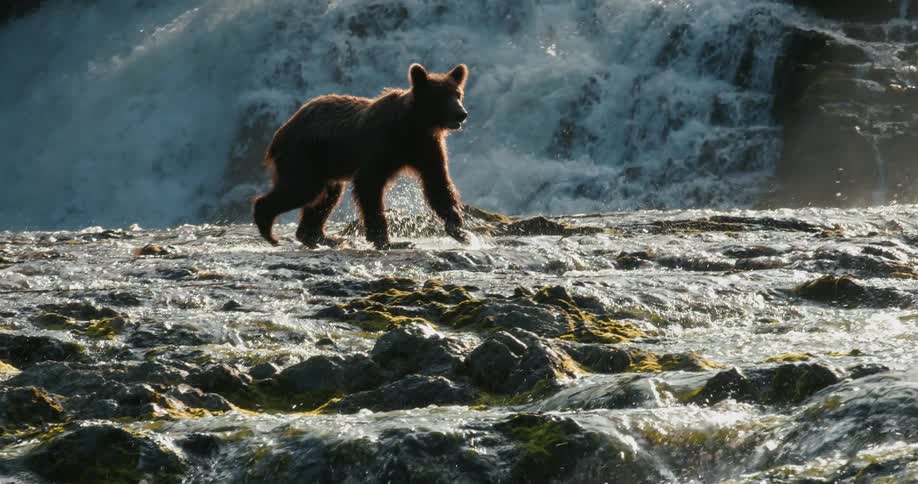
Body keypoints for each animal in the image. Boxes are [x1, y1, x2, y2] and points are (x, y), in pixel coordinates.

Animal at [252, 63, 471, 250]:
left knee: (327, 196)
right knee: (302, 187)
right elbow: (369, 183)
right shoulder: (384, 145)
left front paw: (459, 229)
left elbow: (438, 183)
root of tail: (283, 128)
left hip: (326, 163)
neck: (414, 126)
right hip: (303, 153)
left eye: (458, 94)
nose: (461, 114)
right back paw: (268, 230)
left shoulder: (426, 148)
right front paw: (386, 240)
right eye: (441, 96)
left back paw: (325, 238)